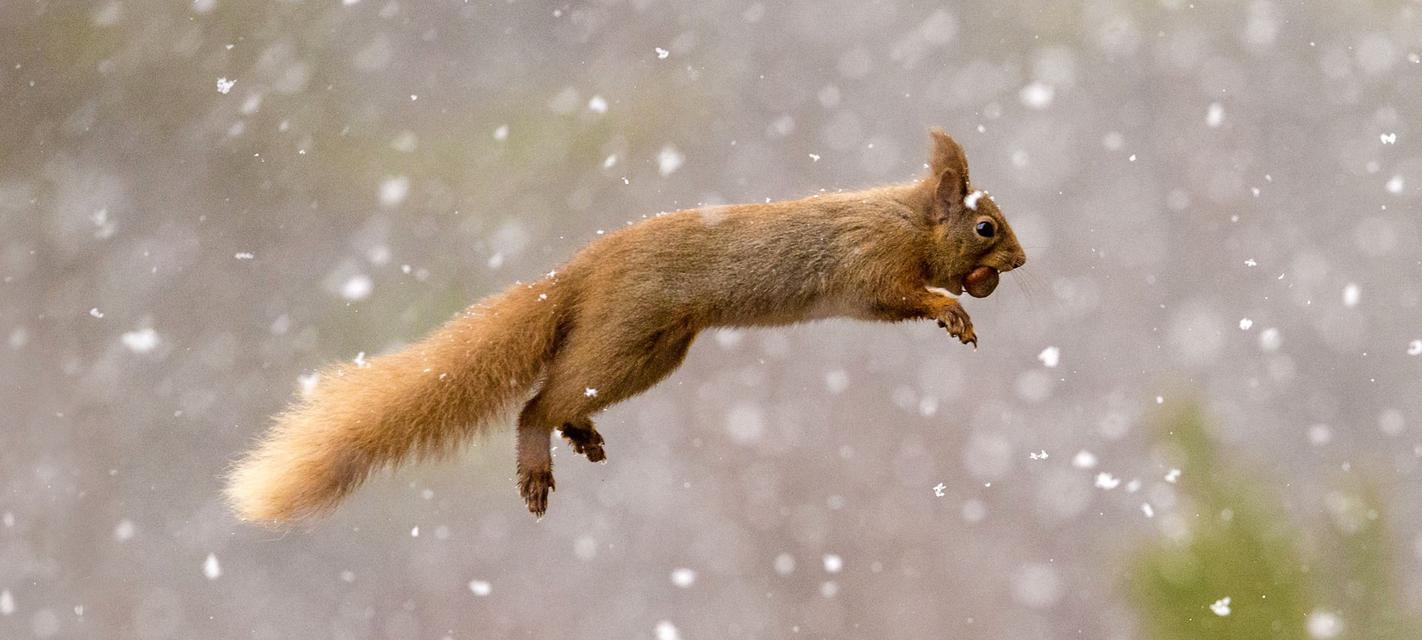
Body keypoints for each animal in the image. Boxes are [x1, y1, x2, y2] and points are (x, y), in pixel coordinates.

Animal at [224, 127, 1023, 523]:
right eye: (985, 227)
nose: (1019, 260)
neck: (908, 218)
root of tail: (578, 273)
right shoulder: (870, 265)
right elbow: (901, 296)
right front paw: (950, 311)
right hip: (627, 335)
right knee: (536, 402)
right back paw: (538, 460)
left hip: (651, 354)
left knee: (563, 393)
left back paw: (579, 434)